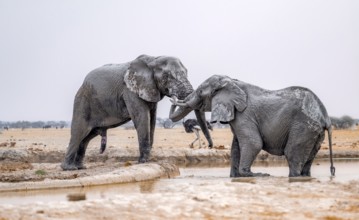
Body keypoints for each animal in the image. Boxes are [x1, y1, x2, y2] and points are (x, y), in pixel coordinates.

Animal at [61, 54, 214, 170]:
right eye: (167, 76)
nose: (210, 146)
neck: (153, 59)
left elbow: (152, 120)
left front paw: (147, 160)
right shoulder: (130, 91)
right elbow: (142, 117)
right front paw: (143, 162)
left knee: (87, 136)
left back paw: (80, 167)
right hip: (82, 101)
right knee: (79, 132)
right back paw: (69, 168)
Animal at [170, 75, 336, 178]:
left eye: (199, 92)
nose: (173, 96)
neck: (231, 81)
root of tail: (325, 116)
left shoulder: (244, 114)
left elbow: (253, 143)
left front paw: (257, 175)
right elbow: (236, 147)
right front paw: (235, 177)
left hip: (304, 126)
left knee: (292, 153)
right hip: (314, 131)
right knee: (308, 159)